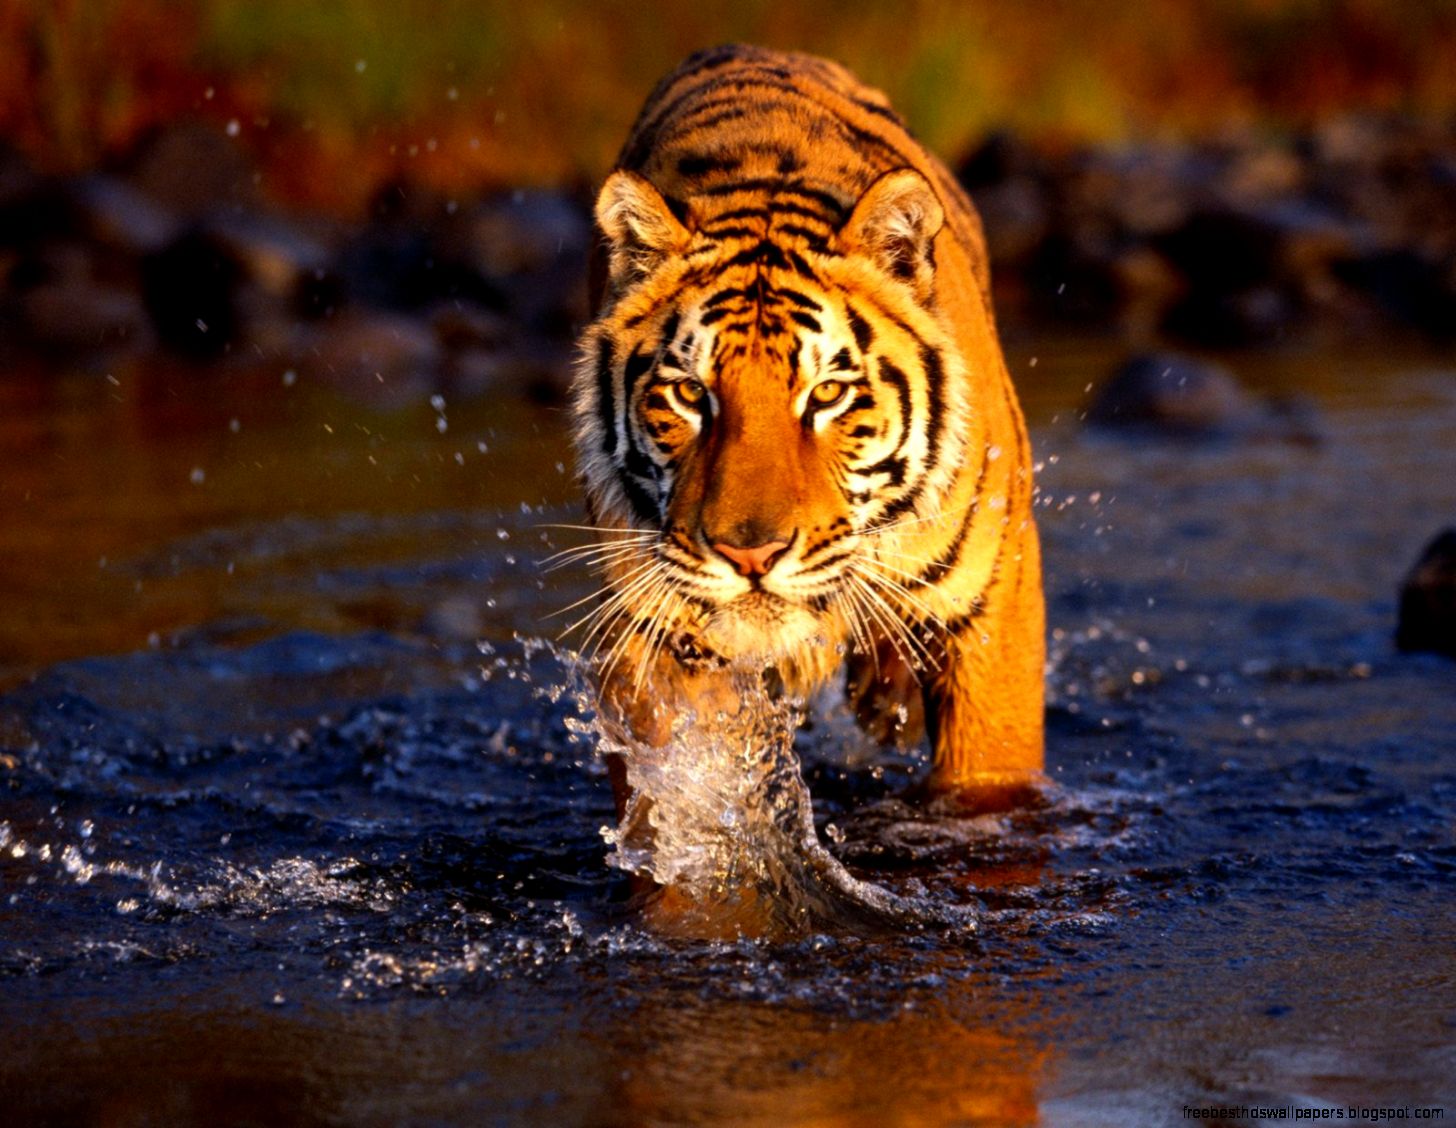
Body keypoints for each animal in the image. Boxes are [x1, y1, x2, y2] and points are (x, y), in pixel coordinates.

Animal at [570, 44, 1044, 817]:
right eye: (690, 393)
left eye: (826, 394)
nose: (750, 556)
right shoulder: (652, 632)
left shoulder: (991, 607)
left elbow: (988, 778)